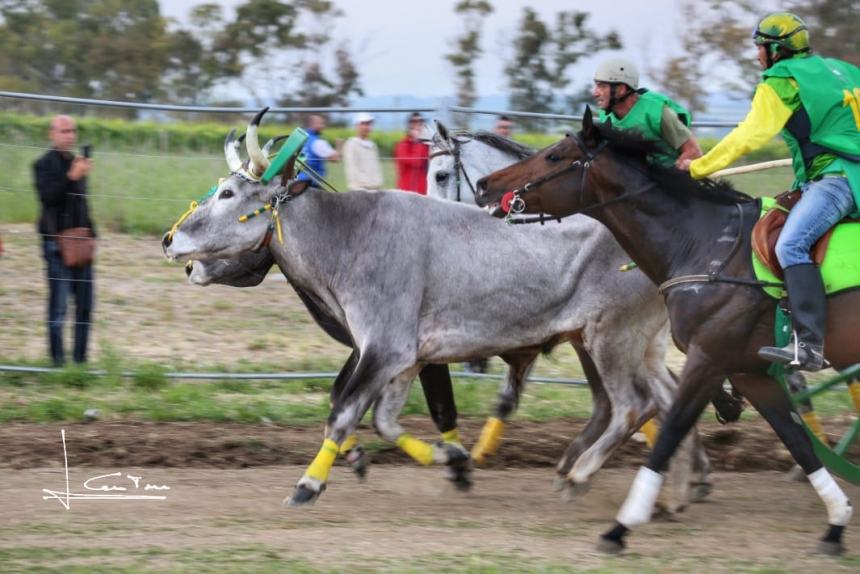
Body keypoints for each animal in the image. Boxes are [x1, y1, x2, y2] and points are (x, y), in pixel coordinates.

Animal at [165, 110, 708, 510]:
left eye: (229, 192)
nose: (171, 240)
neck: (350, 235)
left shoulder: (383, 349)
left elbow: (343, 413)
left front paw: (307, 485)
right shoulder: (406, 359)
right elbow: (385, 421)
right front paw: (452, 460)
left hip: (610, 339)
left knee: (633, 406)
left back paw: (584, 476)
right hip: (634, 345)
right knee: (665, 400)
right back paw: (674, 490)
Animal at [474, 109, 856, 560]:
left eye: (554, 156)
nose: (486, 184)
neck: (709, 246)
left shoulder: (708, 359)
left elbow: (668, 430)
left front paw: (620, 522)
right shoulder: (748, 371)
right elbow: (797, 440)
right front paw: (836, 521)